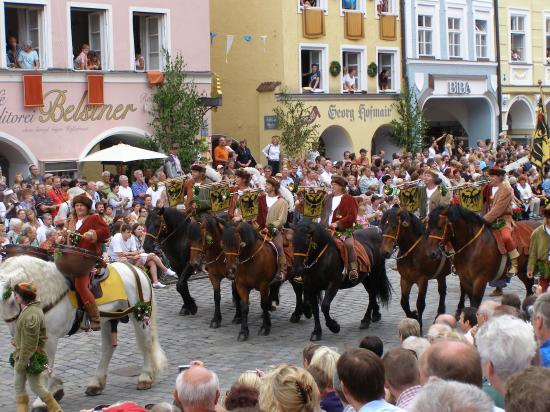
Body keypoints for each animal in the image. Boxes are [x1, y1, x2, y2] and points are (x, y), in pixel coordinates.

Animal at [0, 256, 168, 408]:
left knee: (146, 344)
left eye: (6, 295)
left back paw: (145, 377)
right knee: (108, 348)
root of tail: (134, 269)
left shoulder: (50, 339)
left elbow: (45, 367)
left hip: (139, 315)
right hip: (109, 320)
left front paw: (41, 401)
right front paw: (56, 388)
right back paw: (96, 384)